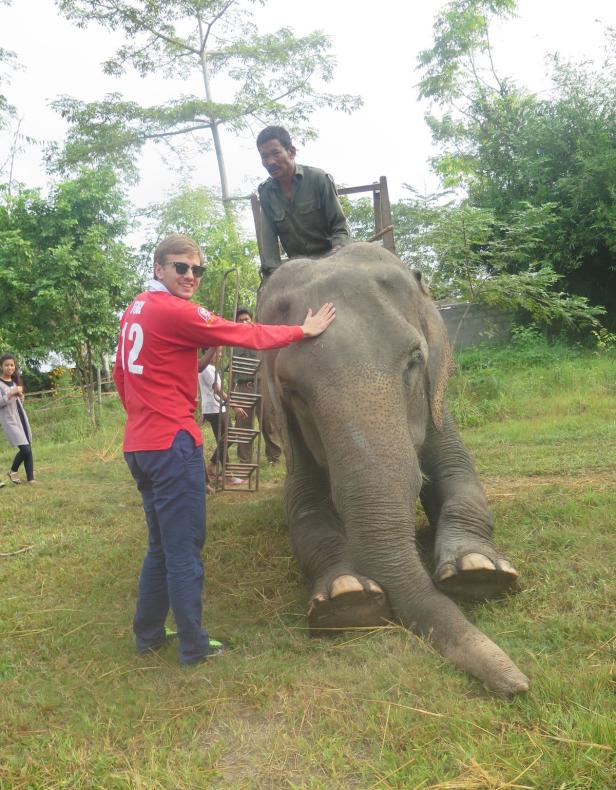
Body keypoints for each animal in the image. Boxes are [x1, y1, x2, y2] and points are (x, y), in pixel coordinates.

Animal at [256, 244, 528, 696]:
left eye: (414, 361)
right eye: (293, 392)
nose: (518, 686)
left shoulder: (438, 408)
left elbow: (461, 478)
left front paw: (478, 571)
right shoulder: (291, 436)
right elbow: (305, 511)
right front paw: (347, 597)